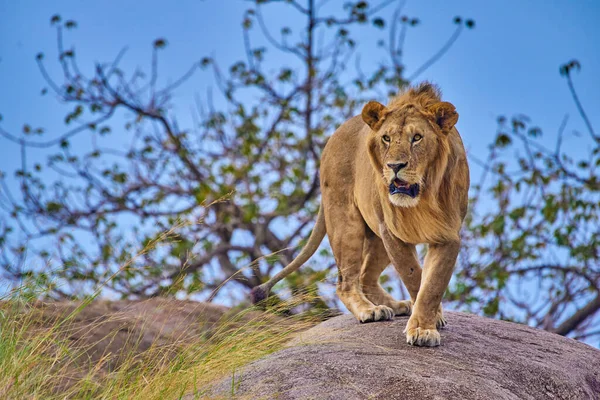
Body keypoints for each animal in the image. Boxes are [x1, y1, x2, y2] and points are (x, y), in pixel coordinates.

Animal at [251, 82, 472, 346]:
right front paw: (427, 323)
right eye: (386, 138)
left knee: (366, 277)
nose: (394, 166)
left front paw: (423, 326)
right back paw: (370, 311)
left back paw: (397, 306)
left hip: (376, 235)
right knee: (346, 283)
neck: (423, 197)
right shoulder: (392, 232)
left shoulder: (447, 235)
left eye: (417, 138)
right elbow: (414, 277)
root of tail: (334, 136)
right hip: (346, 222)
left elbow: (432, 285)